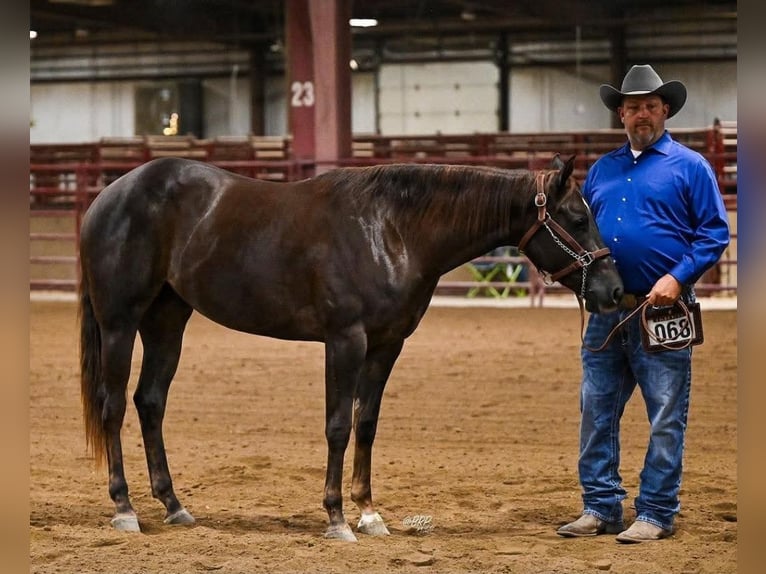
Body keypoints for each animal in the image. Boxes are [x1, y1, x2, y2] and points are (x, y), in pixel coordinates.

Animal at [78, 154, 623, 541]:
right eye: (577, 218)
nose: (615, 291)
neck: (391, 230)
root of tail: (110, 195)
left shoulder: (386, 345)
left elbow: (366, 424)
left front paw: (369, 513)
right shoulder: (344, 341)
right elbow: (338, 426)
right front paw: (337, 518)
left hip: (168, 320)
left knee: (150, 402)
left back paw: (174, 506)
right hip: (120, 322)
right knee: (112, 405)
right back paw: (124, 508)